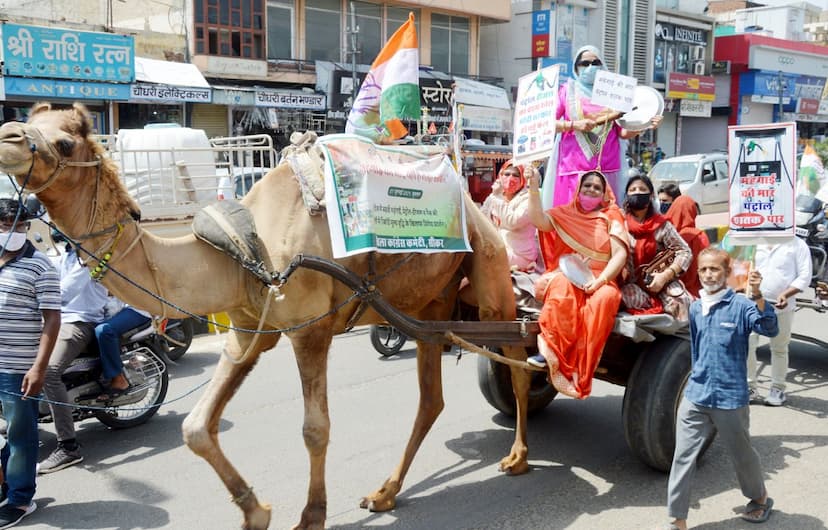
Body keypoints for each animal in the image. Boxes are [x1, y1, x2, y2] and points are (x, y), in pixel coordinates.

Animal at [0, 101, 532, 524]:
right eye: (31, 122)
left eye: (64, 141)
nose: (7, 136)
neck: (241, 249)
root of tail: (474, 199)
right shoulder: (248, 330)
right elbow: (196, 427)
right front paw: (256, 511)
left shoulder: (310, 330)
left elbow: (315, 430)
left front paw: (310, 517)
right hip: (426, 308)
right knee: (431, 399)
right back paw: (384, 493)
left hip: (491, 273)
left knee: (520, 362)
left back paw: (518, 458)